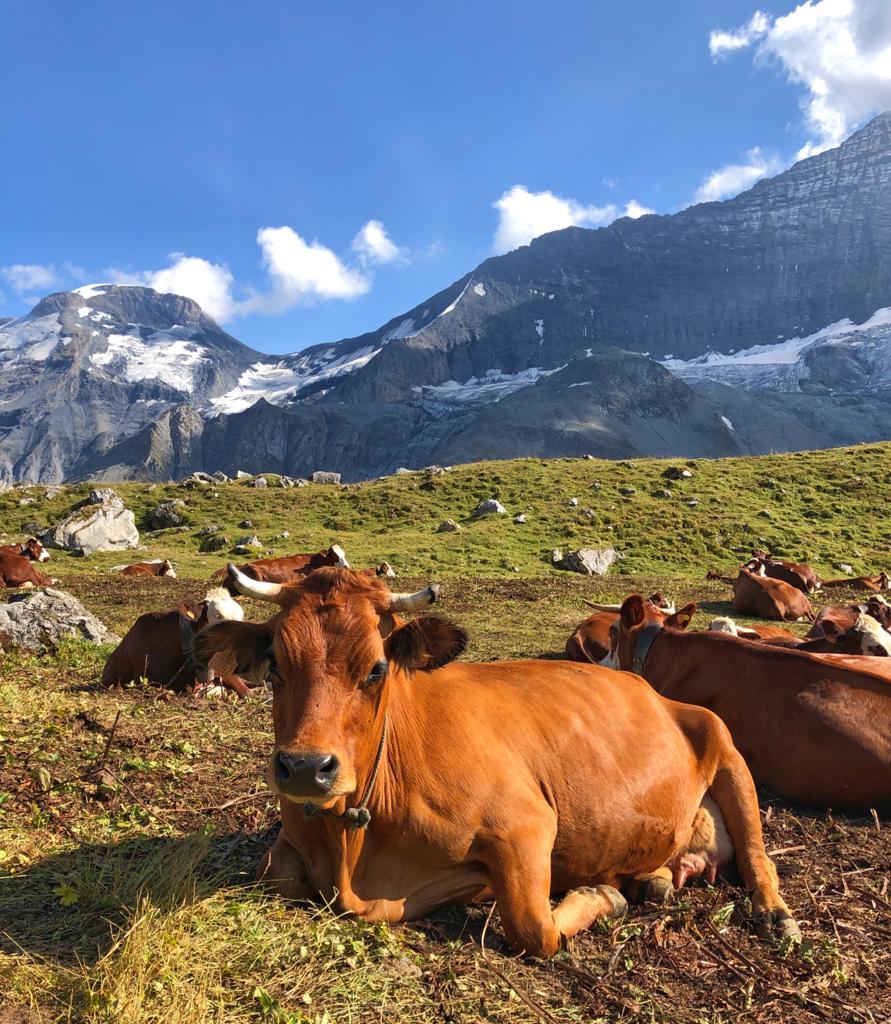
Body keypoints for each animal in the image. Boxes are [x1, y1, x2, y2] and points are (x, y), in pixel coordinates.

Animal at [190, 565, 802, 954]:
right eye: (274, 663)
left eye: (376, 668)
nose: (304, 767)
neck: (356, 841)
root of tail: (648, 688)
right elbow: (274, 873)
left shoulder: (526, 826)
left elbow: (534, 930)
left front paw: (598, 894)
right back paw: (654, 880)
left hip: (724, 745)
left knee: (758, 856)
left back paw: (774, 913)